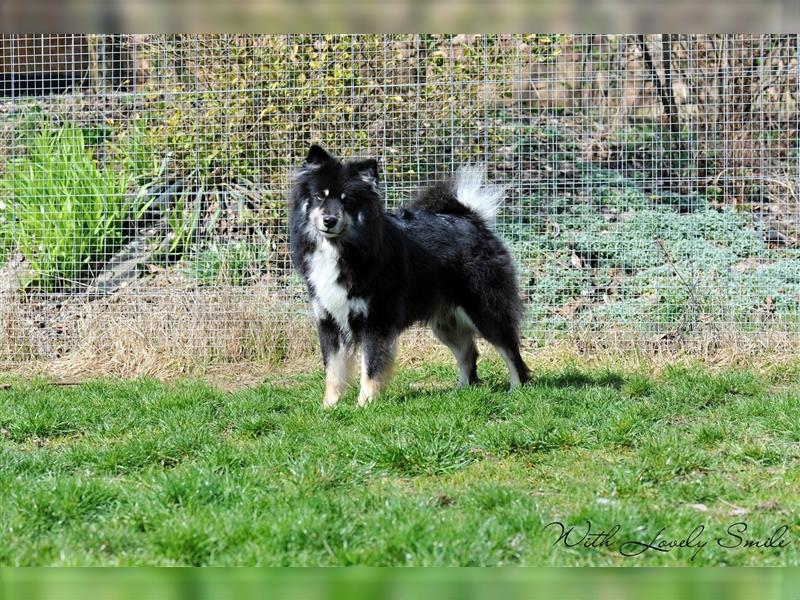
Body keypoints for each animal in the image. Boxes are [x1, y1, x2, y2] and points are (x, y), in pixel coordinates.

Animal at [290, 145, 532, 408]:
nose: (329, 220)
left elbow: (370, 368)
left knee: (510, 350)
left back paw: (517, 389)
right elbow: (333, 371)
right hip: (446, 322)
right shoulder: (329, 321)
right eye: (320, 197)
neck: (345, 249)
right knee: (468, 351)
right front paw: (329, 408)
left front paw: (364, 405)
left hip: (484, 310)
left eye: (348, 201)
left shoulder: (376, 321)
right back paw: (461, 392)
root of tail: (471, 217)